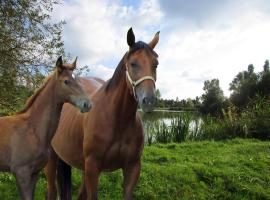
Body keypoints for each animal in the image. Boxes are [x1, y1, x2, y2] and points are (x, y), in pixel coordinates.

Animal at [0, 56, 92, 200]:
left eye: (78, 80)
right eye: (66, 81)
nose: (87, 104)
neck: (33, 129)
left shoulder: (34, 174)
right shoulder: (22, 174)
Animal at [44, 28, 158, 200]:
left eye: (155, 64)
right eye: (133, 63)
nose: (149, 101)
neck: (118, 121)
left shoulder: (132, 167)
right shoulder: (93, 167)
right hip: (52, 158)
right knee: (51, 190)